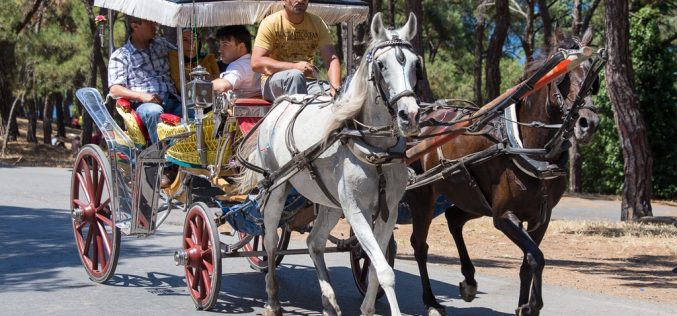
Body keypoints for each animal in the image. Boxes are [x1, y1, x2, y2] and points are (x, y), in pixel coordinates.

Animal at [235, 13, 420, 316]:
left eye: (416, 64)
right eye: (381, 65)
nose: (410, 115)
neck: (375, 148)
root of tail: (279, 105)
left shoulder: (388, 211)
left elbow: (376, 269)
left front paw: (367, 308)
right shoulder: (356, 209)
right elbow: (385, 271)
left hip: (330, 204)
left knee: (315, 242)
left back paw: (329, 300)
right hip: (276, 190)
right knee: (270, 243)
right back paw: (272, 300)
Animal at [404, 28, 600, 314]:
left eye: (593, 79)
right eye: (563, 76)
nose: (589, 123)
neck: (529, 147)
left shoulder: (541, 217)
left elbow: (528, 261)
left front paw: (524, 306)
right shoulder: (504, 216)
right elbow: (536, 257)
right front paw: (532, 304)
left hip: (471, 198)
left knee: (453, 219)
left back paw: (469, 280)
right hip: (422, 195)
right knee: (419, 245)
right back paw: (431, 301)